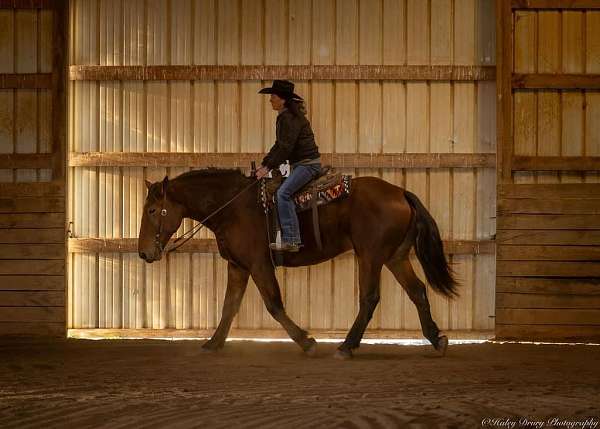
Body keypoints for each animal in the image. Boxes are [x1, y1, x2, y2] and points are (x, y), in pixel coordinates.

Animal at [138, 167, 458, 358]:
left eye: (153, 210)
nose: (143, 253)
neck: (233, 208)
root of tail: (400, 192)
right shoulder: (238, 266)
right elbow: (229, 307)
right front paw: (213, 343)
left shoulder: (259, 264)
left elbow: (274, 305)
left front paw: (307, 341)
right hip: (394, 257)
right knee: (417, 292)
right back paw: (437, 339)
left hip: (370, 256)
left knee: (370, 298)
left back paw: (347, 346)